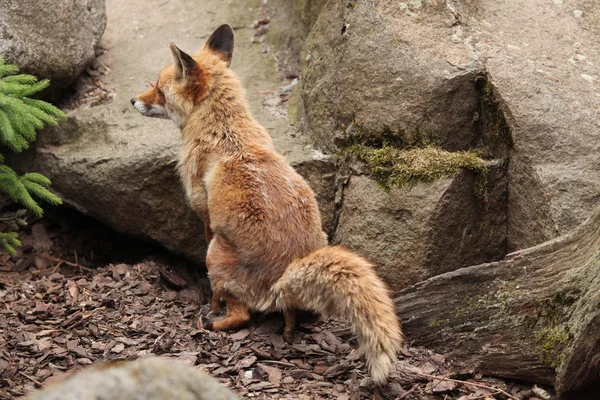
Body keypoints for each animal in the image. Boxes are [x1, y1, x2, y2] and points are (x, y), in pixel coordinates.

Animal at [131, 24, 404, 382]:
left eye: (158, 89)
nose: (132, 100)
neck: (226, 131)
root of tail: (282, 278)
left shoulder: (205, 214)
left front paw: (210, 308)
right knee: (287, 315)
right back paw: (287, 333)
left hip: (216, 256)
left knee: (240, 315)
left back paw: (211, 320)